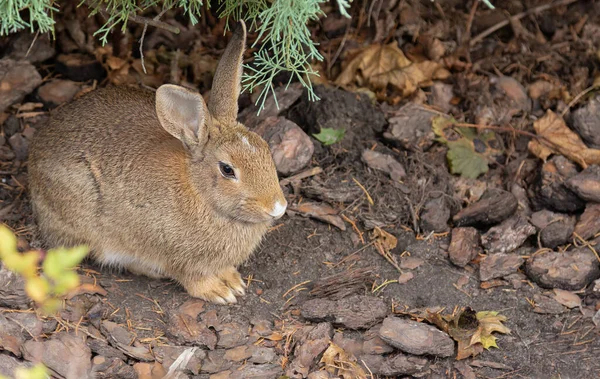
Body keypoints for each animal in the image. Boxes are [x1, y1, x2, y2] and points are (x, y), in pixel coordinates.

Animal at [28, 21, 288, 306]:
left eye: (265, 149)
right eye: (227, 170)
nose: (277, 207)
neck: (200, 192)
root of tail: (34, 159)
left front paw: (233, 281)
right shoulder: (176, 256)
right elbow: (191, 278)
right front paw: (220, 291)